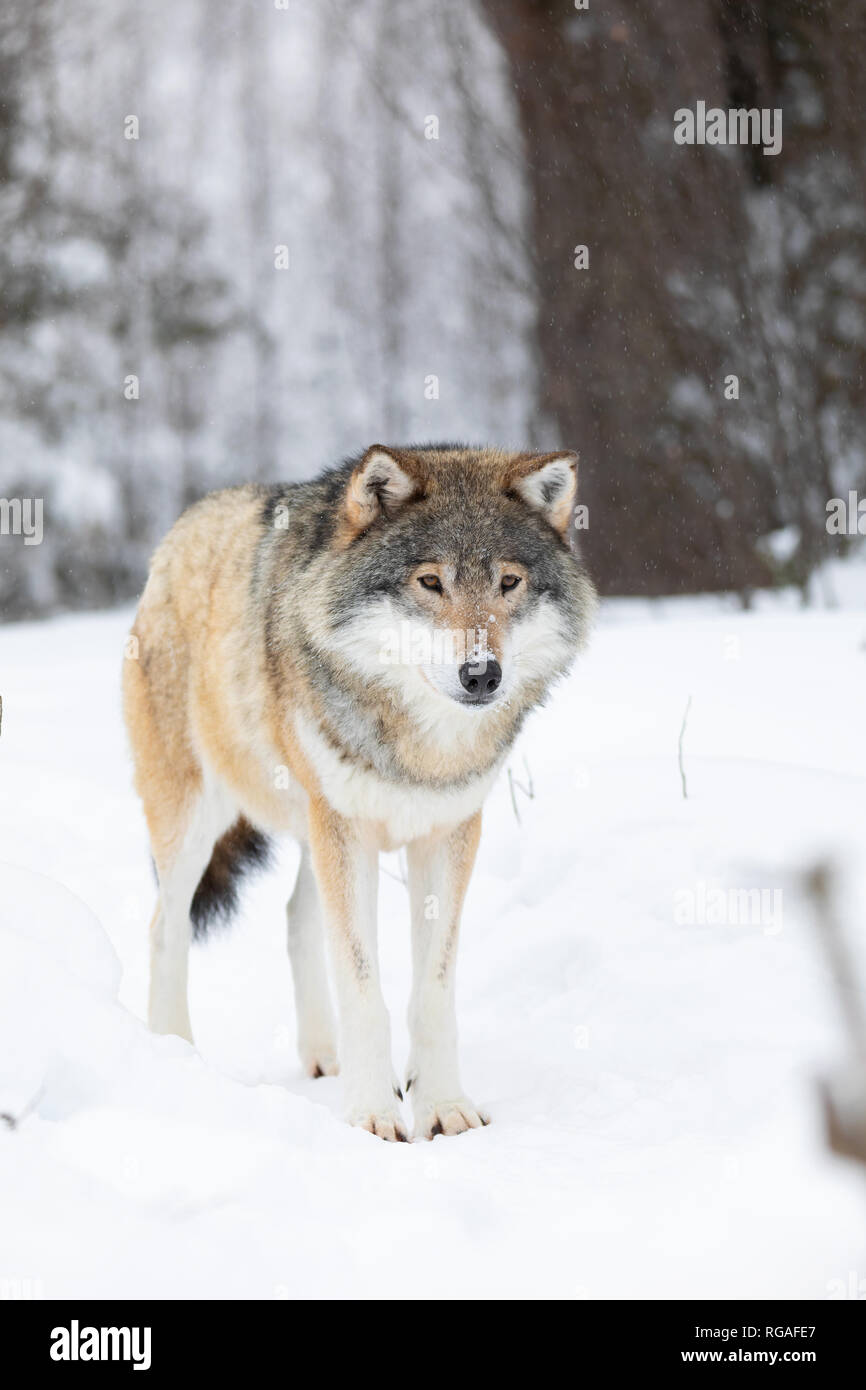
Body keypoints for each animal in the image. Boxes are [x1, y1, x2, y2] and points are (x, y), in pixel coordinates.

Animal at [123, 444, 594, 1139]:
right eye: (431, 583)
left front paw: (443, 1106)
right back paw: (173, 1052)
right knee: (166, 926)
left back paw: (327, 1057)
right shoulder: (345, 829)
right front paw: (372, 1115)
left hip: (313, 831)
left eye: (509, 583)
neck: (420, 748)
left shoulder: (447, 833)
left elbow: (432, 991)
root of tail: (184, 526)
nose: (482, 675)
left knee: (297, 918)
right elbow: (365, 989)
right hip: (198, 823)